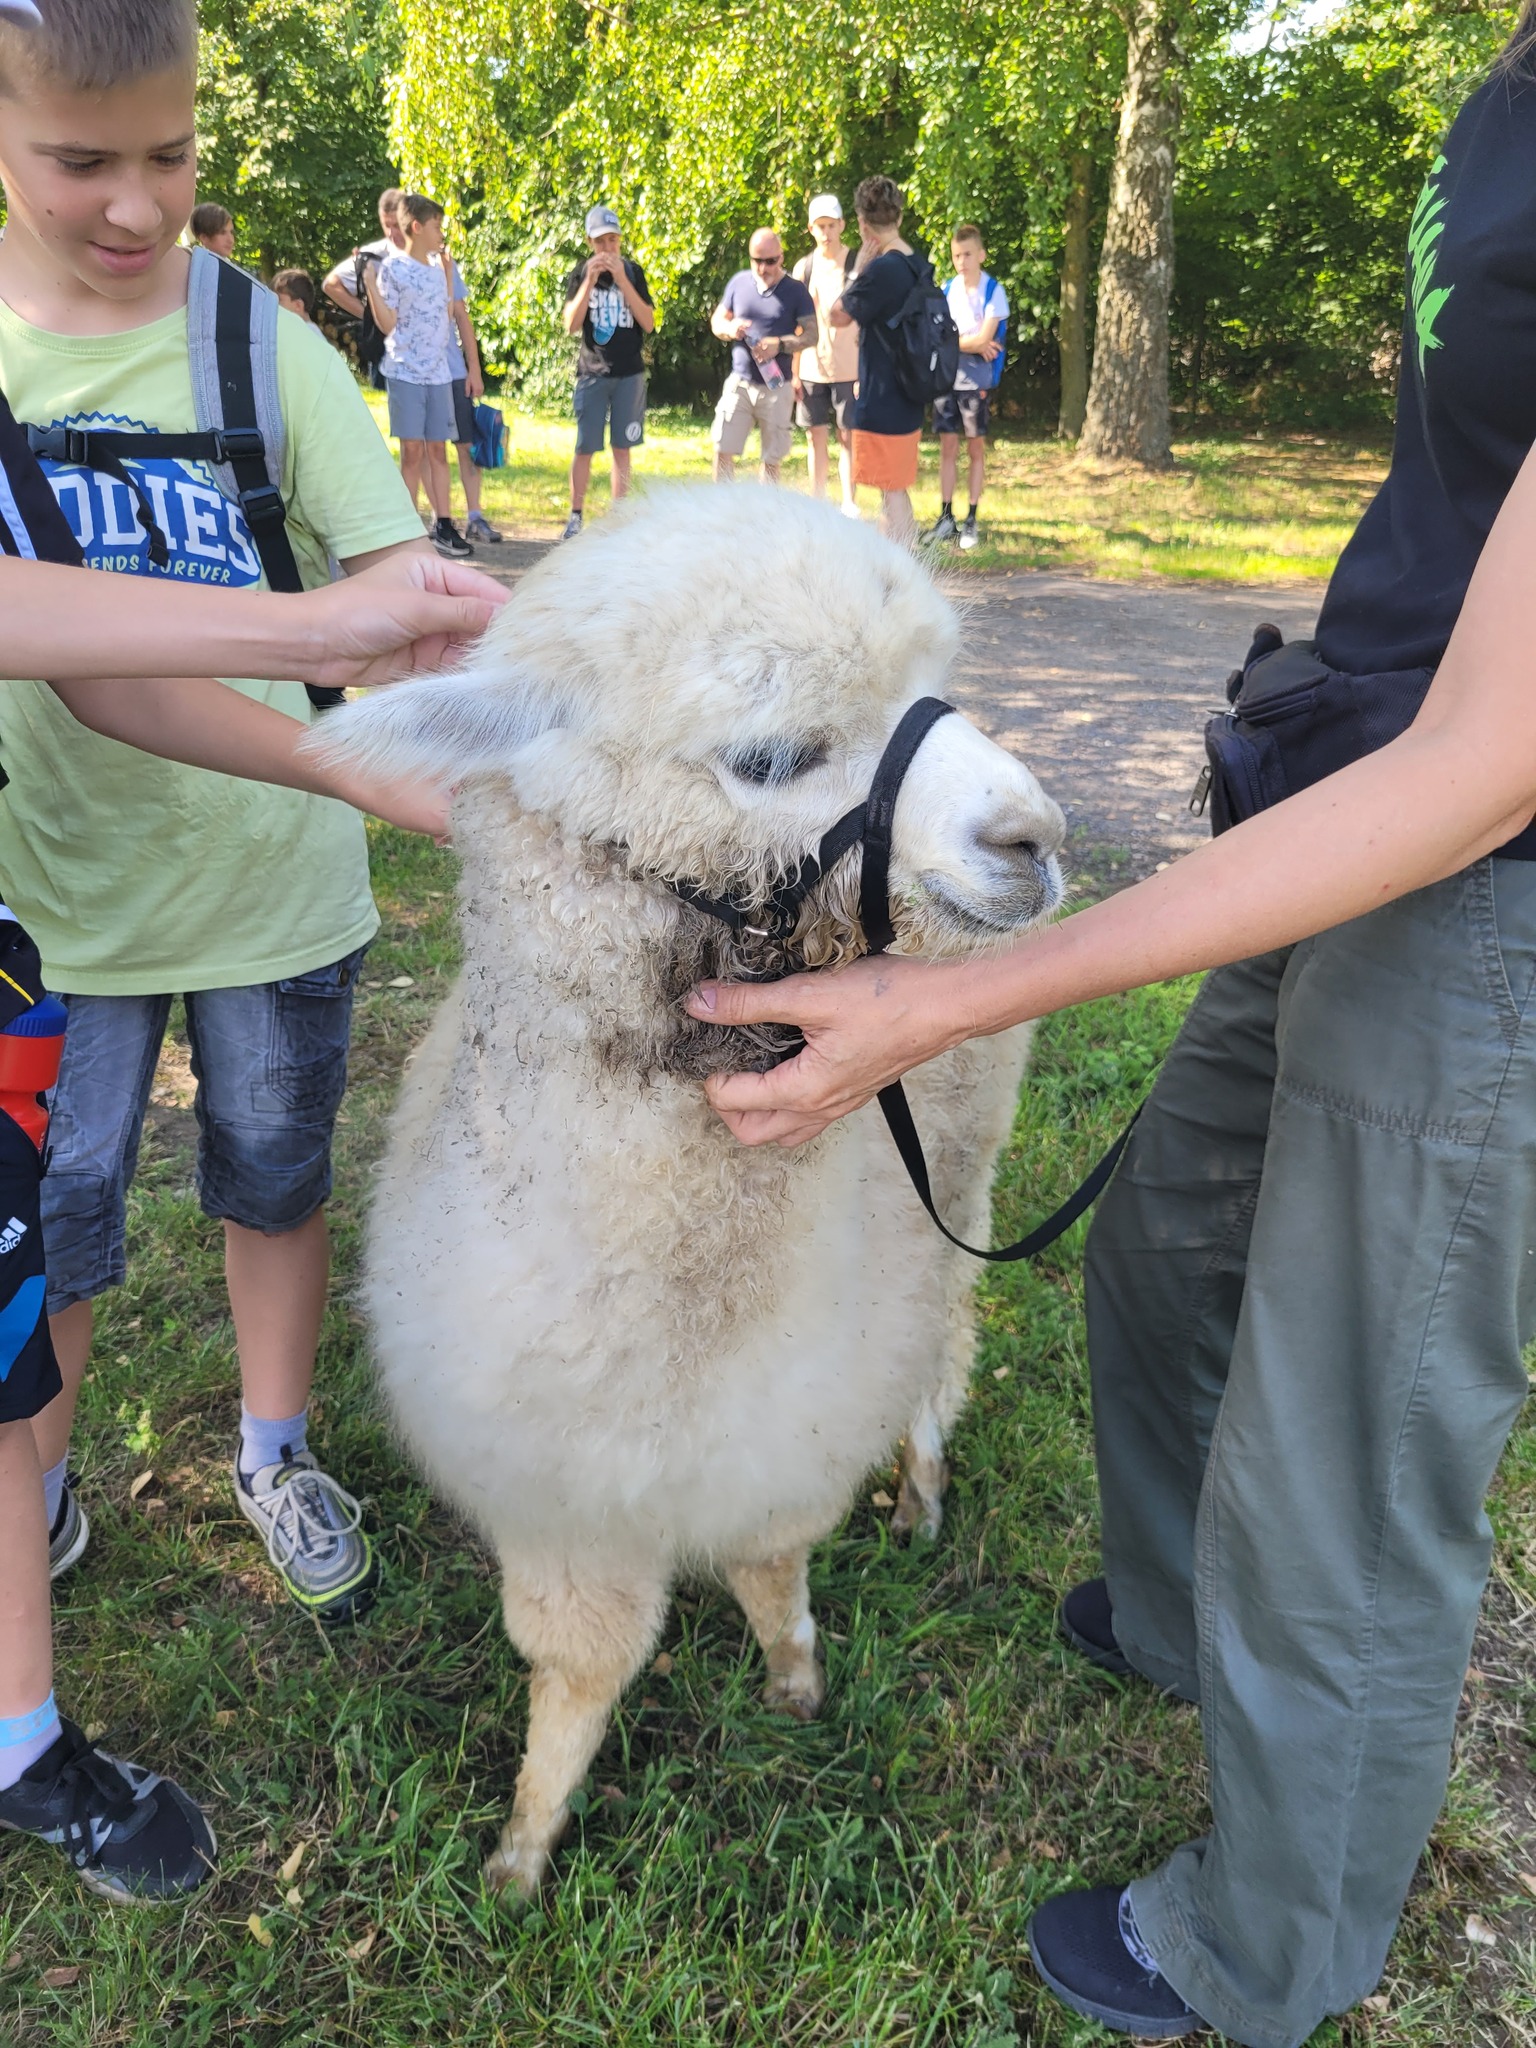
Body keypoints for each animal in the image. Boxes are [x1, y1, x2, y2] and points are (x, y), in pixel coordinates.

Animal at [313, 485, 1066, 1898]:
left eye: (934, 684)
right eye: (768, 755)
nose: (1034, 837)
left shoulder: (787, 1428)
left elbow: (772, 1567)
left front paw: (796, 1684)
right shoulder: (559, 1493)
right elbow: (580, 1661)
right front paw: (524, 1848)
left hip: (969, 1160)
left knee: (948, 1324)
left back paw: (923, 1488)